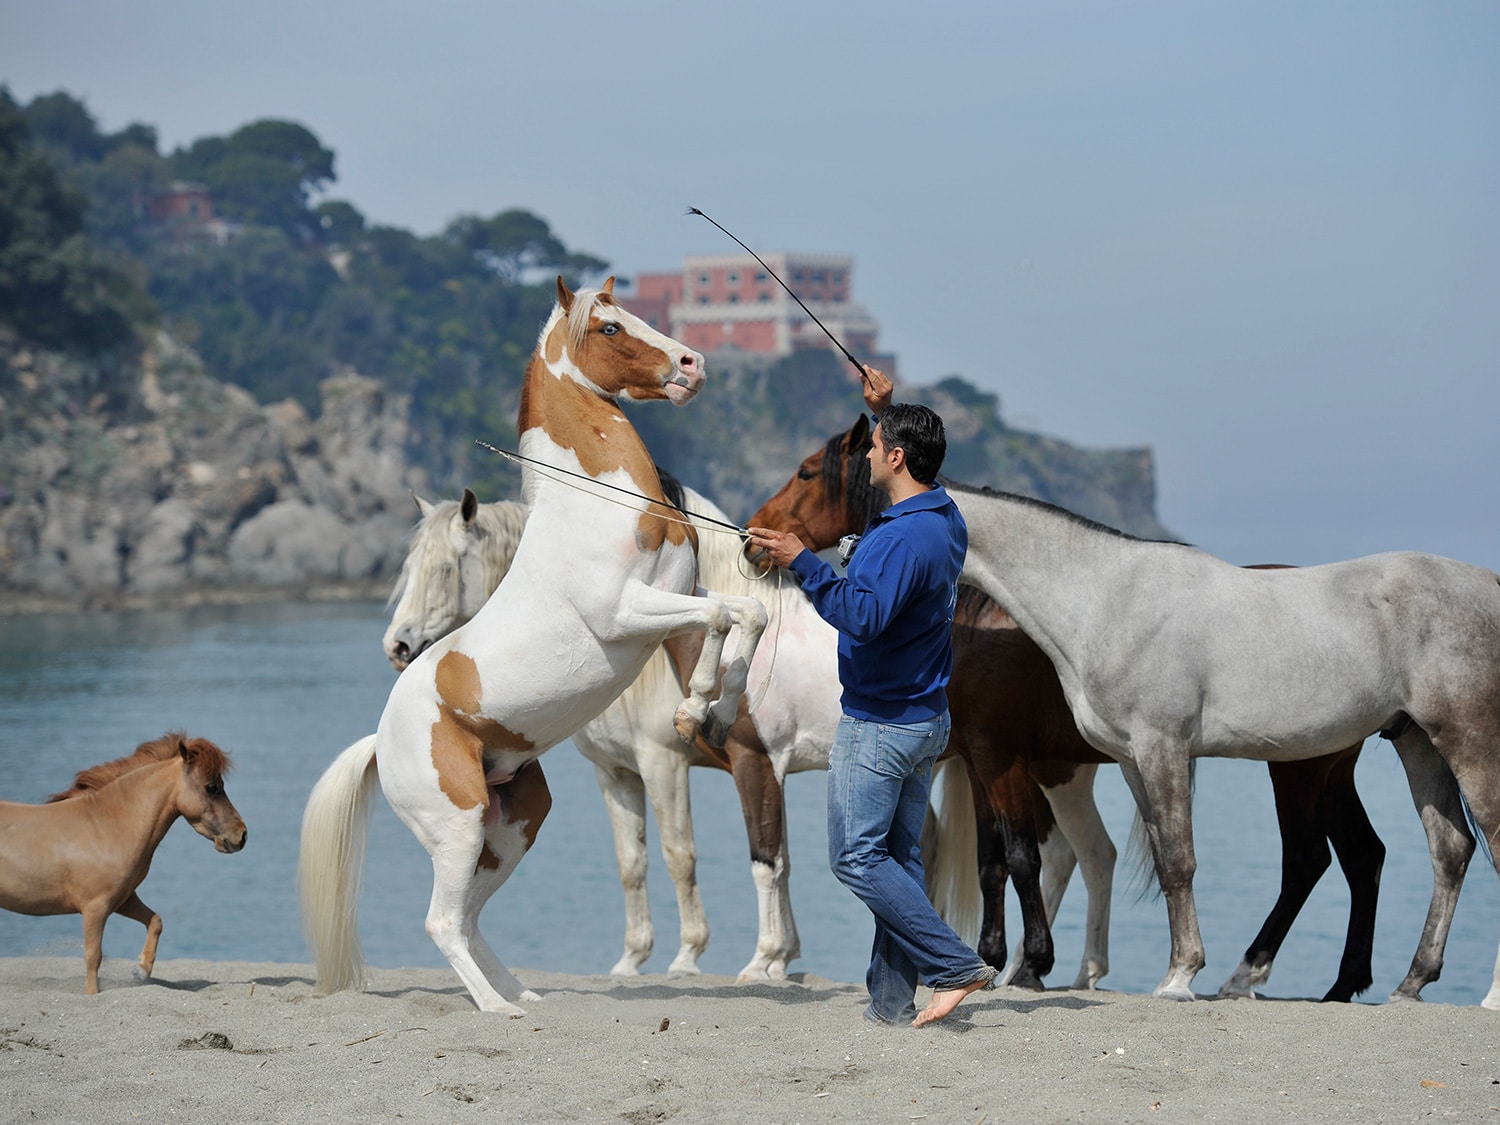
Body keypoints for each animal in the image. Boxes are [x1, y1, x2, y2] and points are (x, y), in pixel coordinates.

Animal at [0, 735, 246, 1002]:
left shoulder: (123, 899)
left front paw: (141, 970)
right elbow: (93, 956)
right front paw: (93, 993)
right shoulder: (94, 909)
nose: (241, 835)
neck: (105, 826)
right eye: (211, 787)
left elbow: (155, 921)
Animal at [298, 277, 768, 1020]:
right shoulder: (627, 612)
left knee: (468, 917)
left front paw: (712, 708)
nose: (692, 365)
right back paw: (498, 1009)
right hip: (458, 826)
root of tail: (380, 740)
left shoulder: (674, 602)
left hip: (513, 825)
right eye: (609, 327)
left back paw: (520, 992)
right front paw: (697, 706)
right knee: (441, 920)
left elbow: (743, 612)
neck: (598, 503)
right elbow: (728, 610)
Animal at [744, 417, 1386, 1002]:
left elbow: (1021, 858)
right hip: (1325, 767)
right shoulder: (979, 760)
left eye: (806, 471)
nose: (754, 536)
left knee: (1306, 860)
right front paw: (1000, 959)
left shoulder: (1001, 756)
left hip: (1298, 768)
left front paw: (1029, 962)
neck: (979, 627)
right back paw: (1342, 983)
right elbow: (991, 862)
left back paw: (1246, 975)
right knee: (1362, 855)